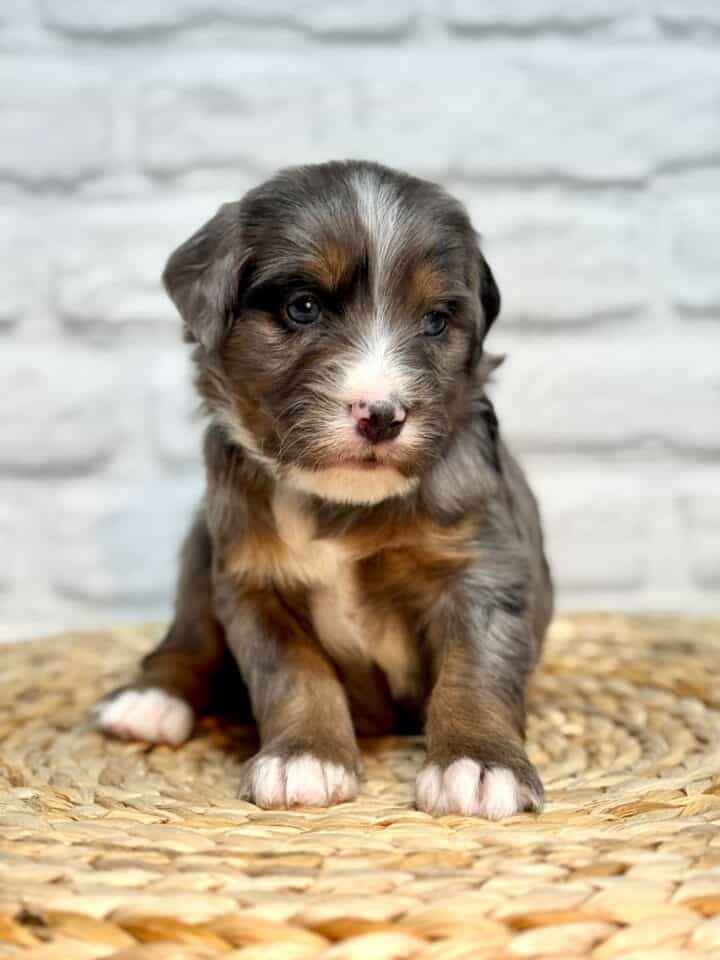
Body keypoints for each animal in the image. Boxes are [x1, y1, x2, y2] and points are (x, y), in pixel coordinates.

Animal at [95, 158, 556, 816]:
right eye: (304, 307)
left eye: (435, 321)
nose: (383, 415)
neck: (339, 503)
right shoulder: (252, 583)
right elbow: (295, 675)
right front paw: (306, 757)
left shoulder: (482, 567)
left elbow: (474, 670)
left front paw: (478, 763)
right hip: (199, 552)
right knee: (186, 640)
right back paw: (148, 702)